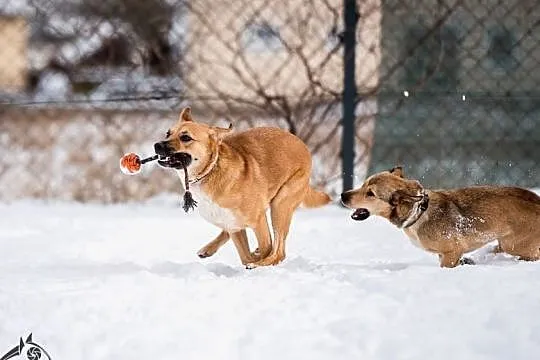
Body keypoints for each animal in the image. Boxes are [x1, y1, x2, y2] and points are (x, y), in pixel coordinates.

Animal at [152, 106, 330, 268]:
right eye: (168, 133)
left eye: (186, 137)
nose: (157, 145)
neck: (210, 170)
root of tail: (301, 143)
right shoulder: (234, 226)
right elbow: (245, 255)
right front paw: (253, 255)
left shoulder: (258, 221)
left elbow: (265, 248)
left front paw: (258, 260)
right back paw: (210, 249)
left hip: (280, 205)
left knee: (279, 251)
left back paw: (263, 261)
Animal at [342, 167, 540, 268]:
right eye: (363, 185)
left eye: (370, 193)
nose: (343, 196)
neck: (419, 211)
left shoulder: (451, 253)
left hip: (514, 244)